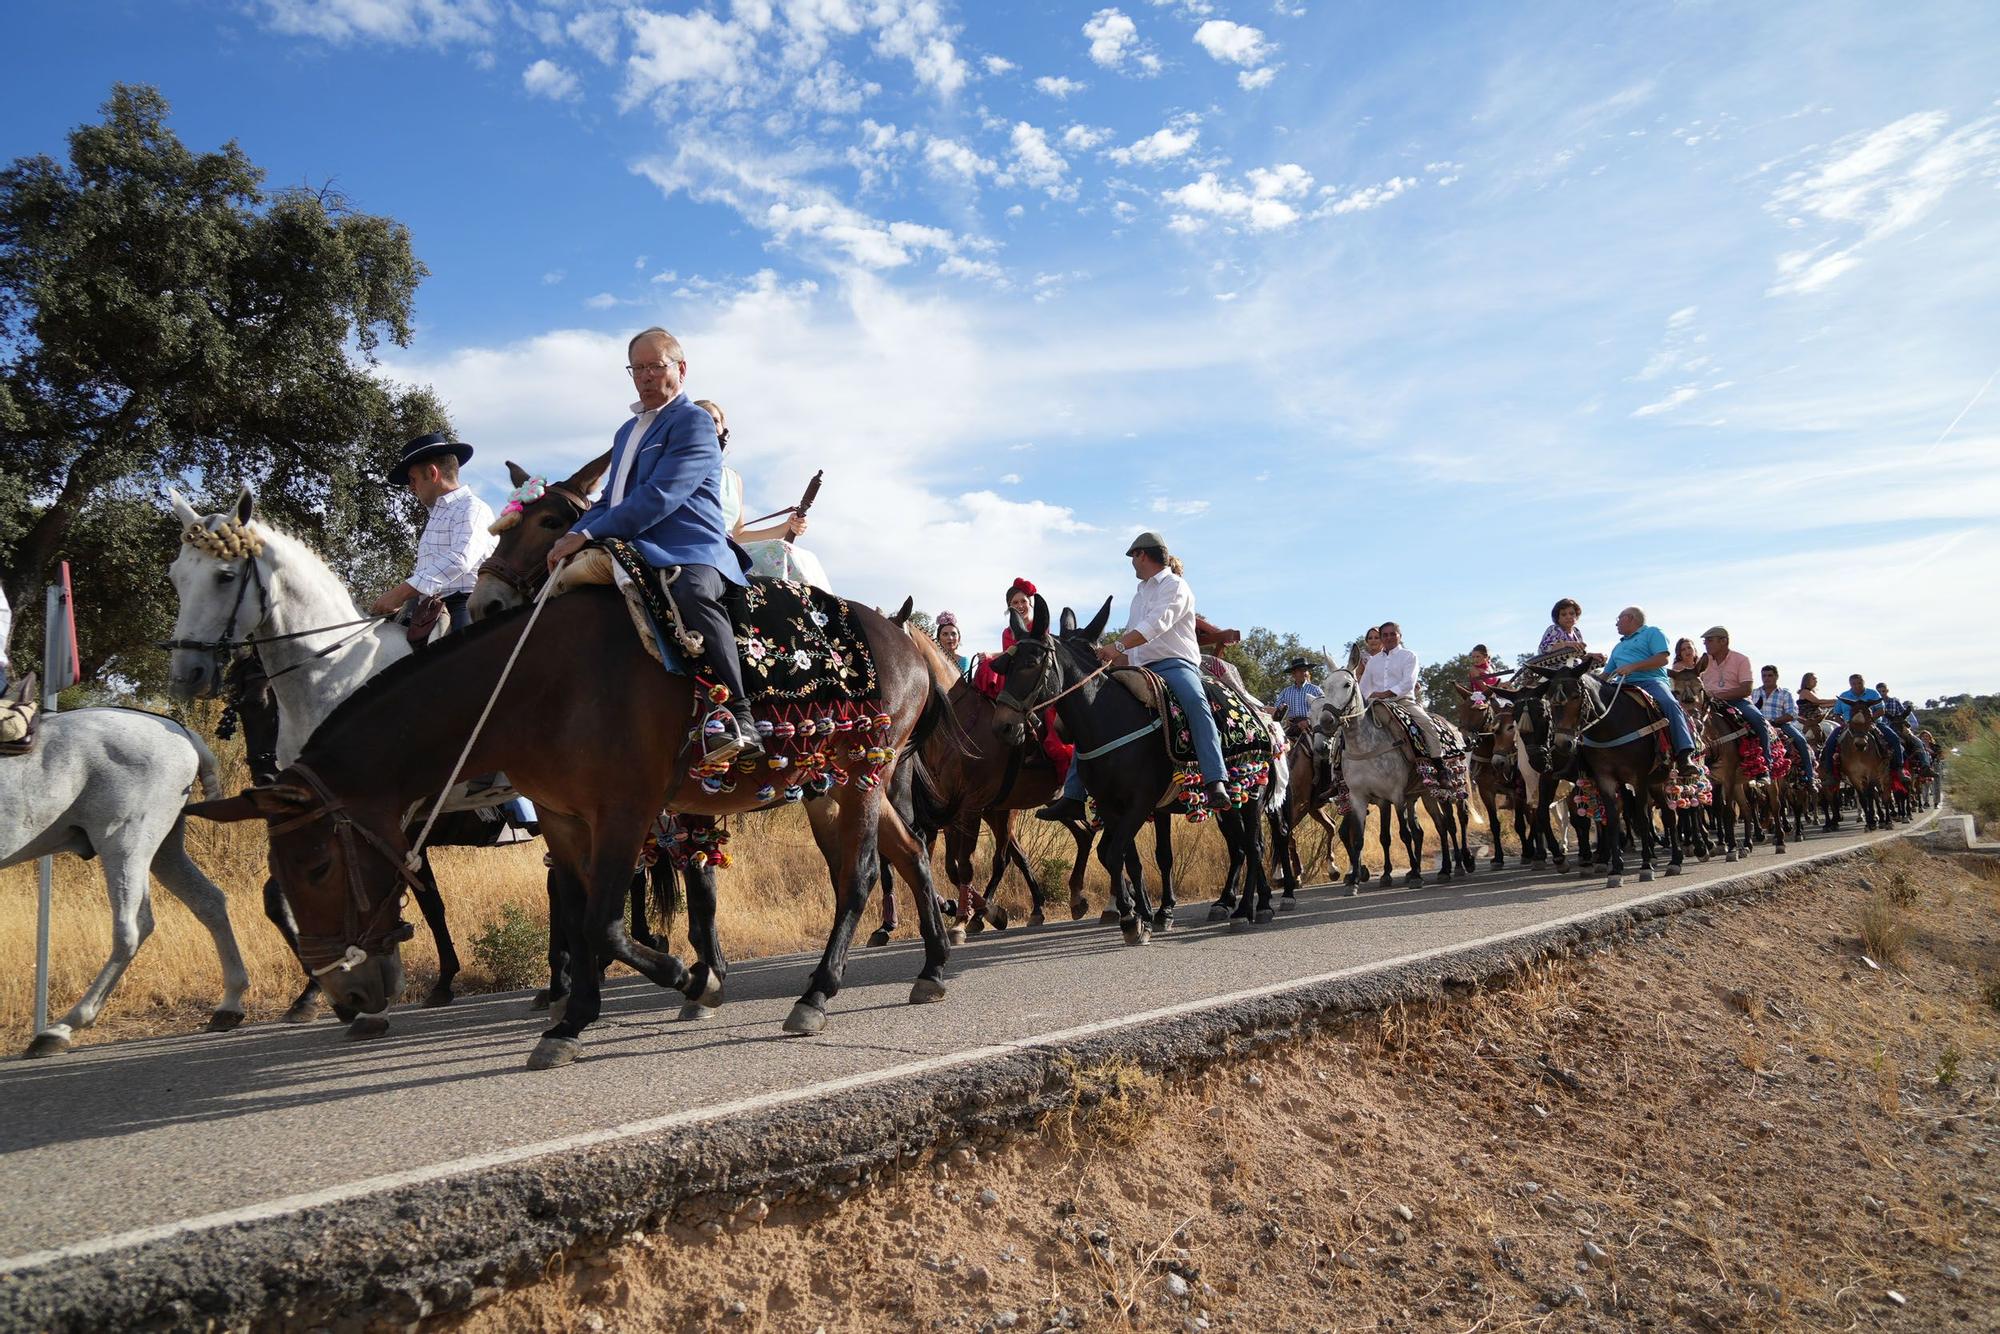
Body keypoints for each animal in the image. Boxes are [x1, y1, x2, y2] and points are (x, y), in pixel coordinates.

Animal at [0, 704, 248, 1056]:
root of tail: (183, 733)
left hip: (125, 842)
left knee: (132, 928)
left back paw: (62, 1028)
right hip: (164, 849)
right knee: (209, 902)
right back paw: (229, 1004)